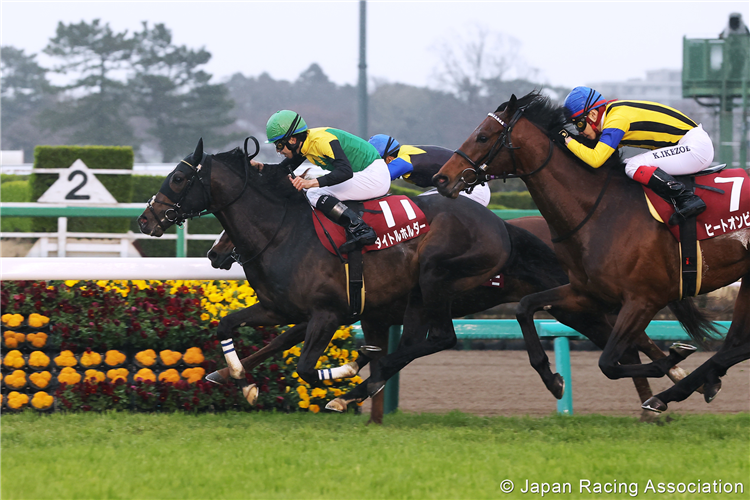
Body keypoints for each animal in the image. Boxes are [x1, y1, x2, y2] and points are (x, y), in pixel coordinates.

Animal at [434, 92, 750, 412]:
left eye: (483, 136)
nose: (441, 179)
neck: (600, 210)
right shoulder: (587, 292)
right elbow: (525, 307)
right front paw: (552, 379)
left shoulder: (643, 299)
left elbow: (608, 363)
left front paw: (674, 359)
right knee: (735, 345)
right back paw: (694, 385)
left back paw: (675, 390)